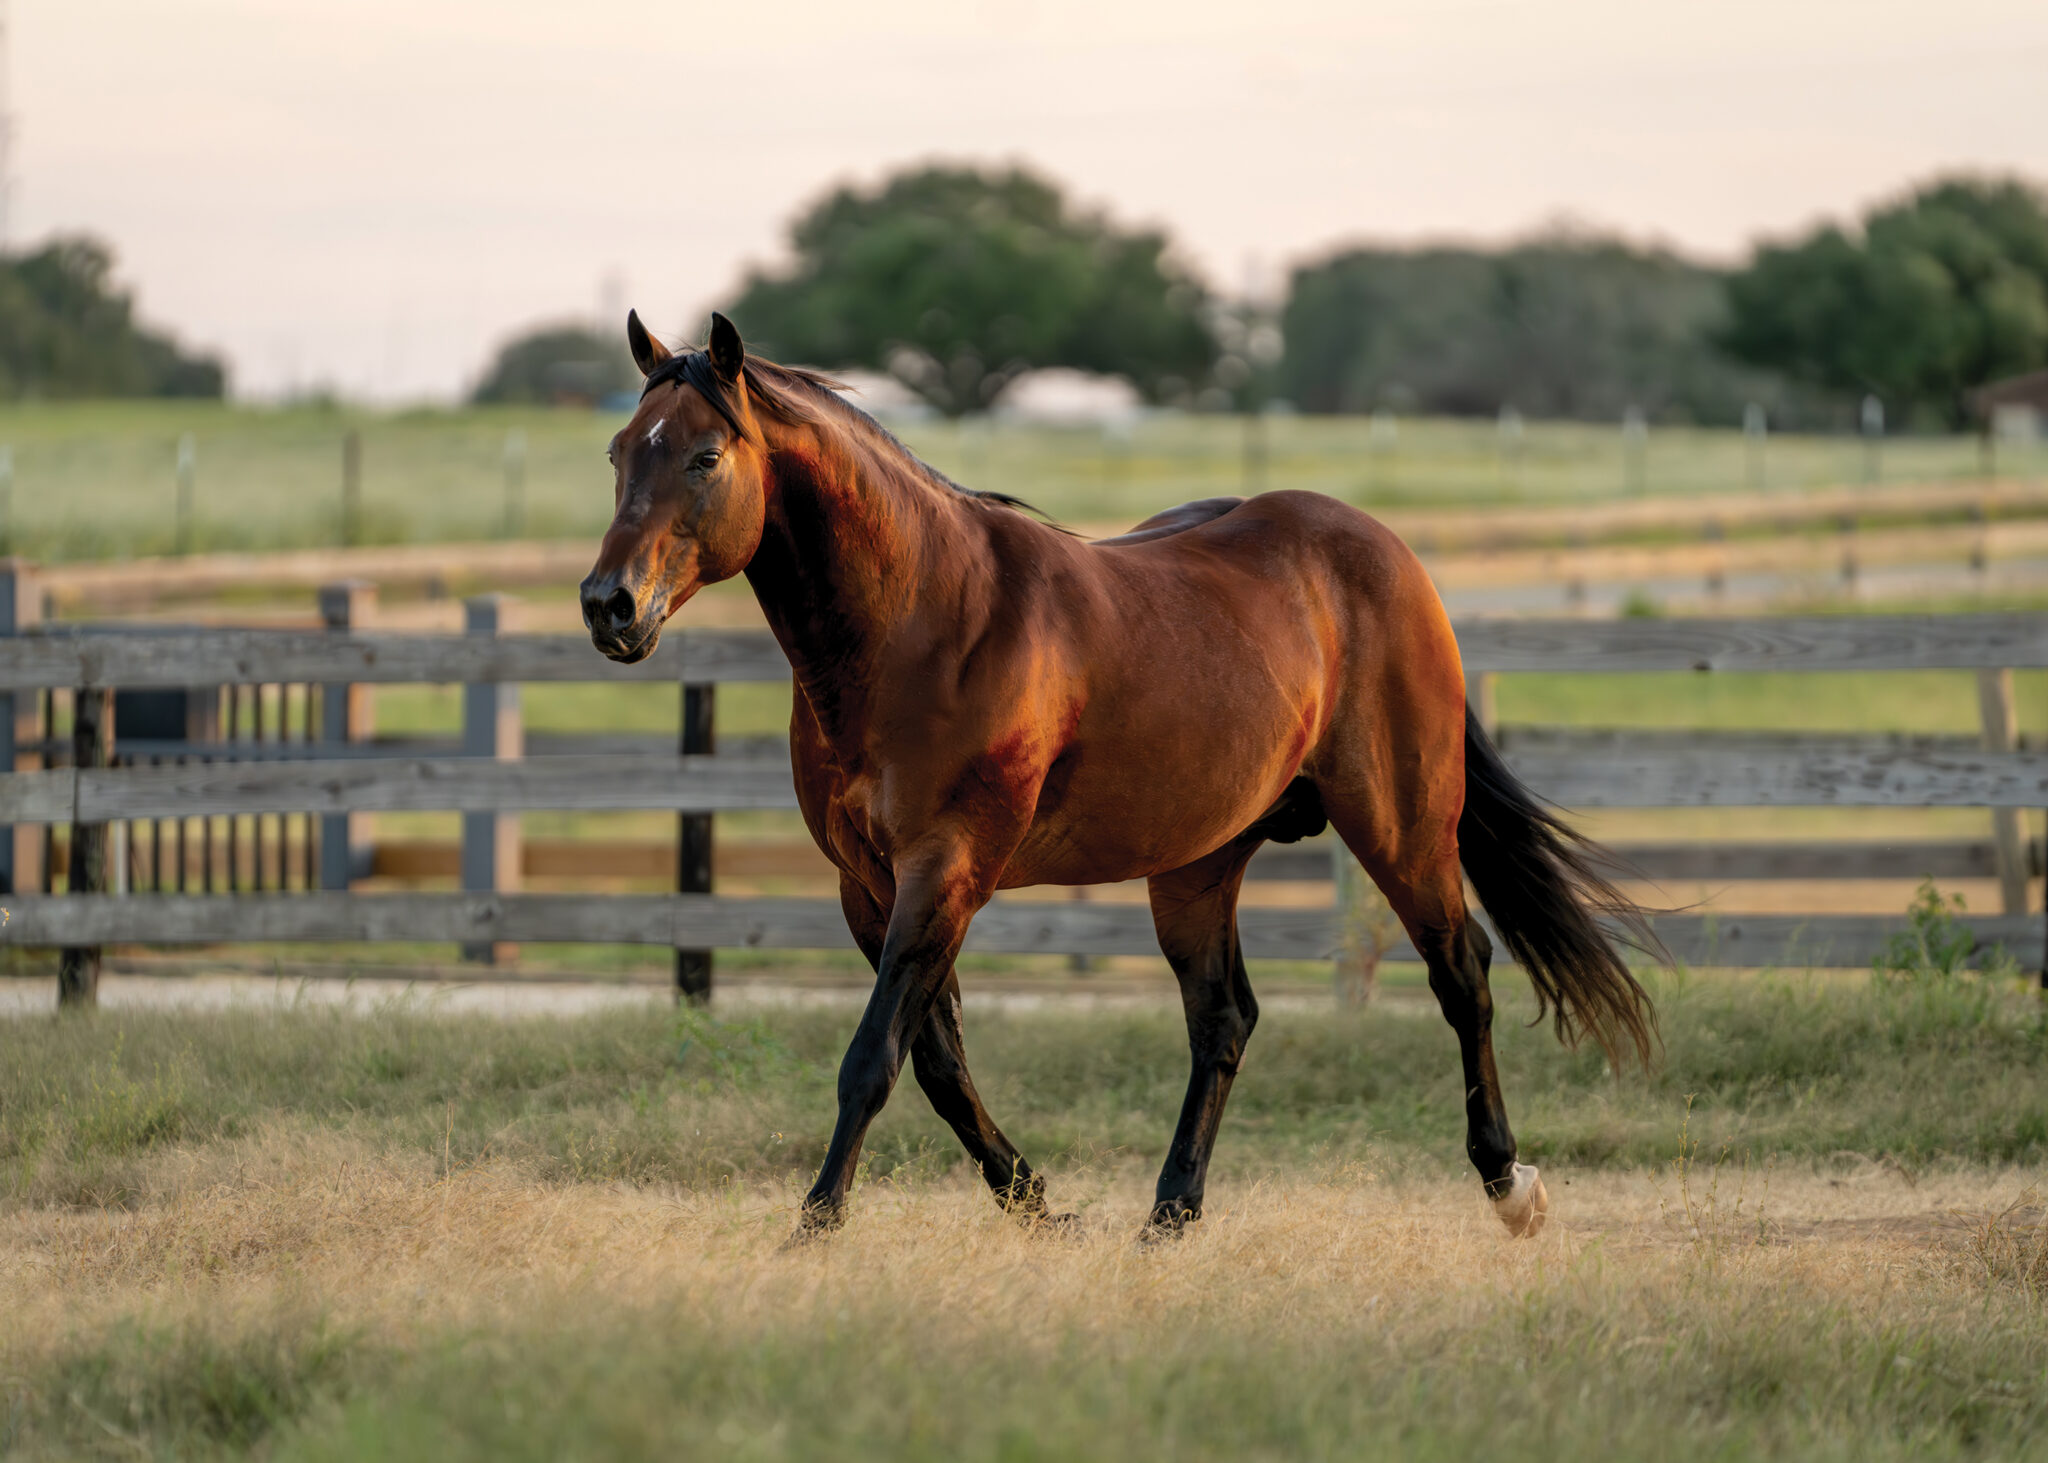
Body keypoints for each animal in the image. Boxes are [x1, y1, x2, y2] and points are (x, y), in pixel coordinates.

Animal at [581, 311, 1658, 1240]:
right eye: (621, 451)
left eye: (704, 455)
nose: (608, 604)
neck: (925, 622)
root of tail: (1390, 556)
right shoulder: (869, 885)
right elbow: (936, 1063)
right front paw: (1037, 1203)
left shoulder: (946, 869)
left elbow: (873, 1057)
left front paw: (814, 1223)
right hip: (1197, 864)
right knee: (1223, 1020)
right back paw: (1169, 1214)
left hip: (1400, 824)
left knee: (1460, 970)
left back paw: (1507, 1183)